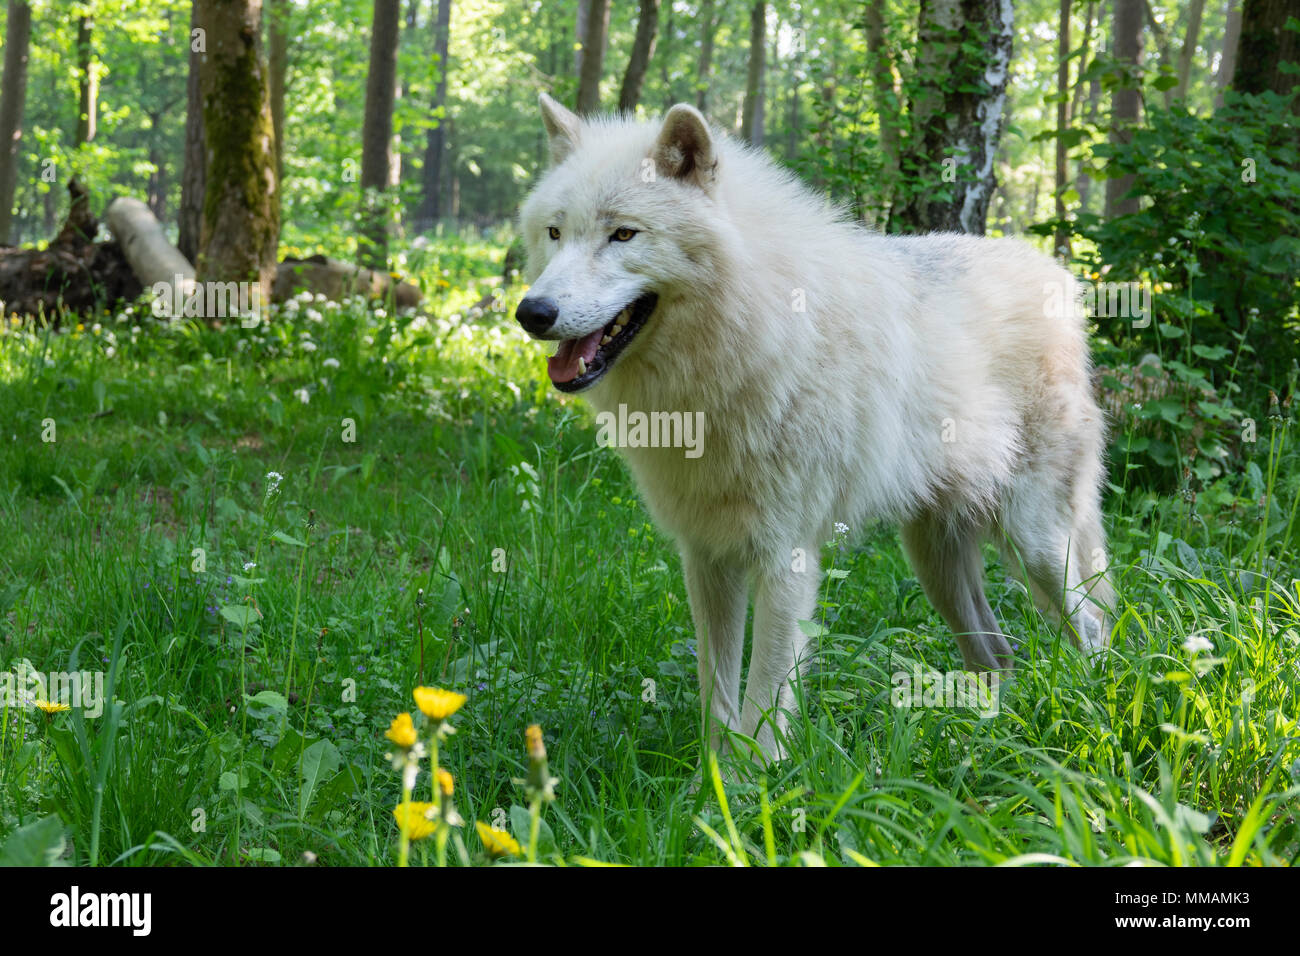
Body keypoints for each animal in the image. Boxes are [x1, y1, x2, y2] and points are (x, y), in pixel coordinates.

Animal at [516, 94, 1114, 758]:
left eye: (623, 233)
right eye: (555, 232)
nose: (531, 312)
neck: (750, 338)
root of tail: (1059, 279)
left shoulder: (786, 559)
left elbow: (762, 703)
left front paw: (753, 781)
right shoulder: (707, 557)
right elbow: (716, 697)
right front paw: (709, 780)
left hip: (1035, 543)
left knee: (1092, 628)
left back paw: (1090, 721)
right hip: (935, 562)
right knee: (997, 654)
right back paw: (985, 741)